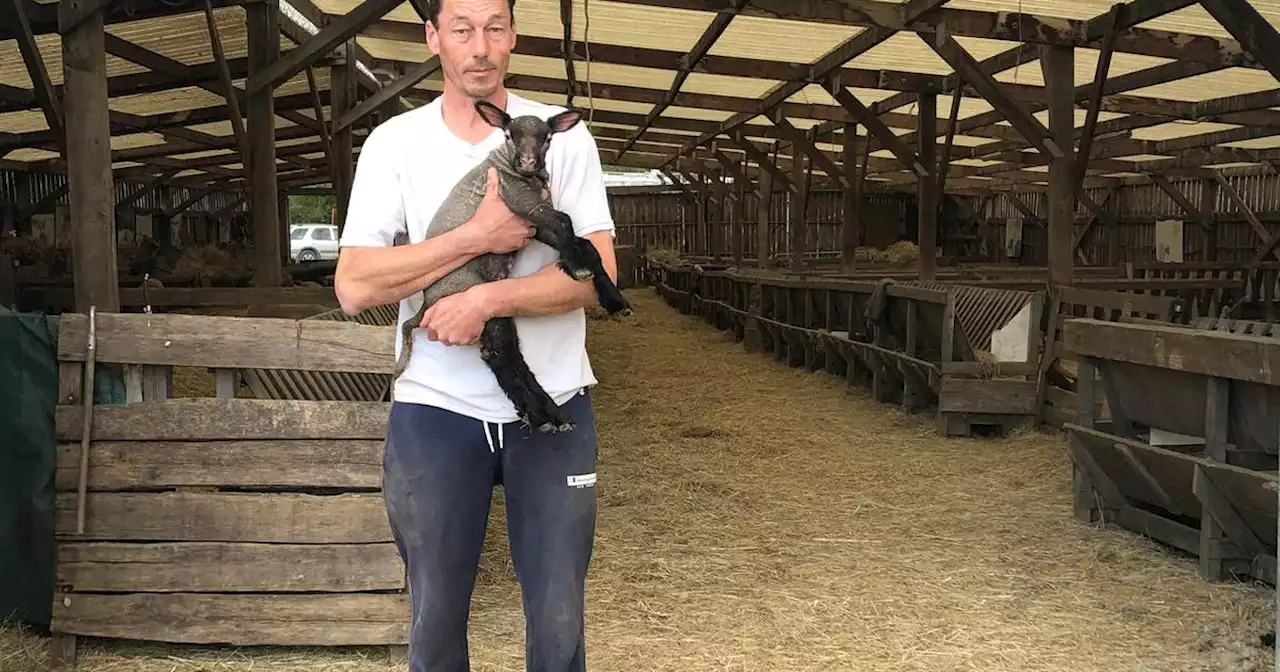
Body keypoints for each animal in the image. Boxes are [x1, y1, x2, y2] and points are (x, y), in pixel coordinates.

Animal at [389, 100, 629, 435]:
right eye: (508, 134)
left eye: (547, 138)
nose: (527, 162)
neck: (517, 172)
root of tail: (425, 305)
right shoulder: (523, 205)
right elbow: (565, 221)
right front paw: (578, 268)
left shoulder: (534, 223)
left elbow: (584, 244)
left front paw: (611, 296)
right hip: (472, 300)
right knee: (502, 354)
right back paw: (545, 416)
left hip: (493, 305)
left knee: (506, 354)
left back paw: (546, 416)